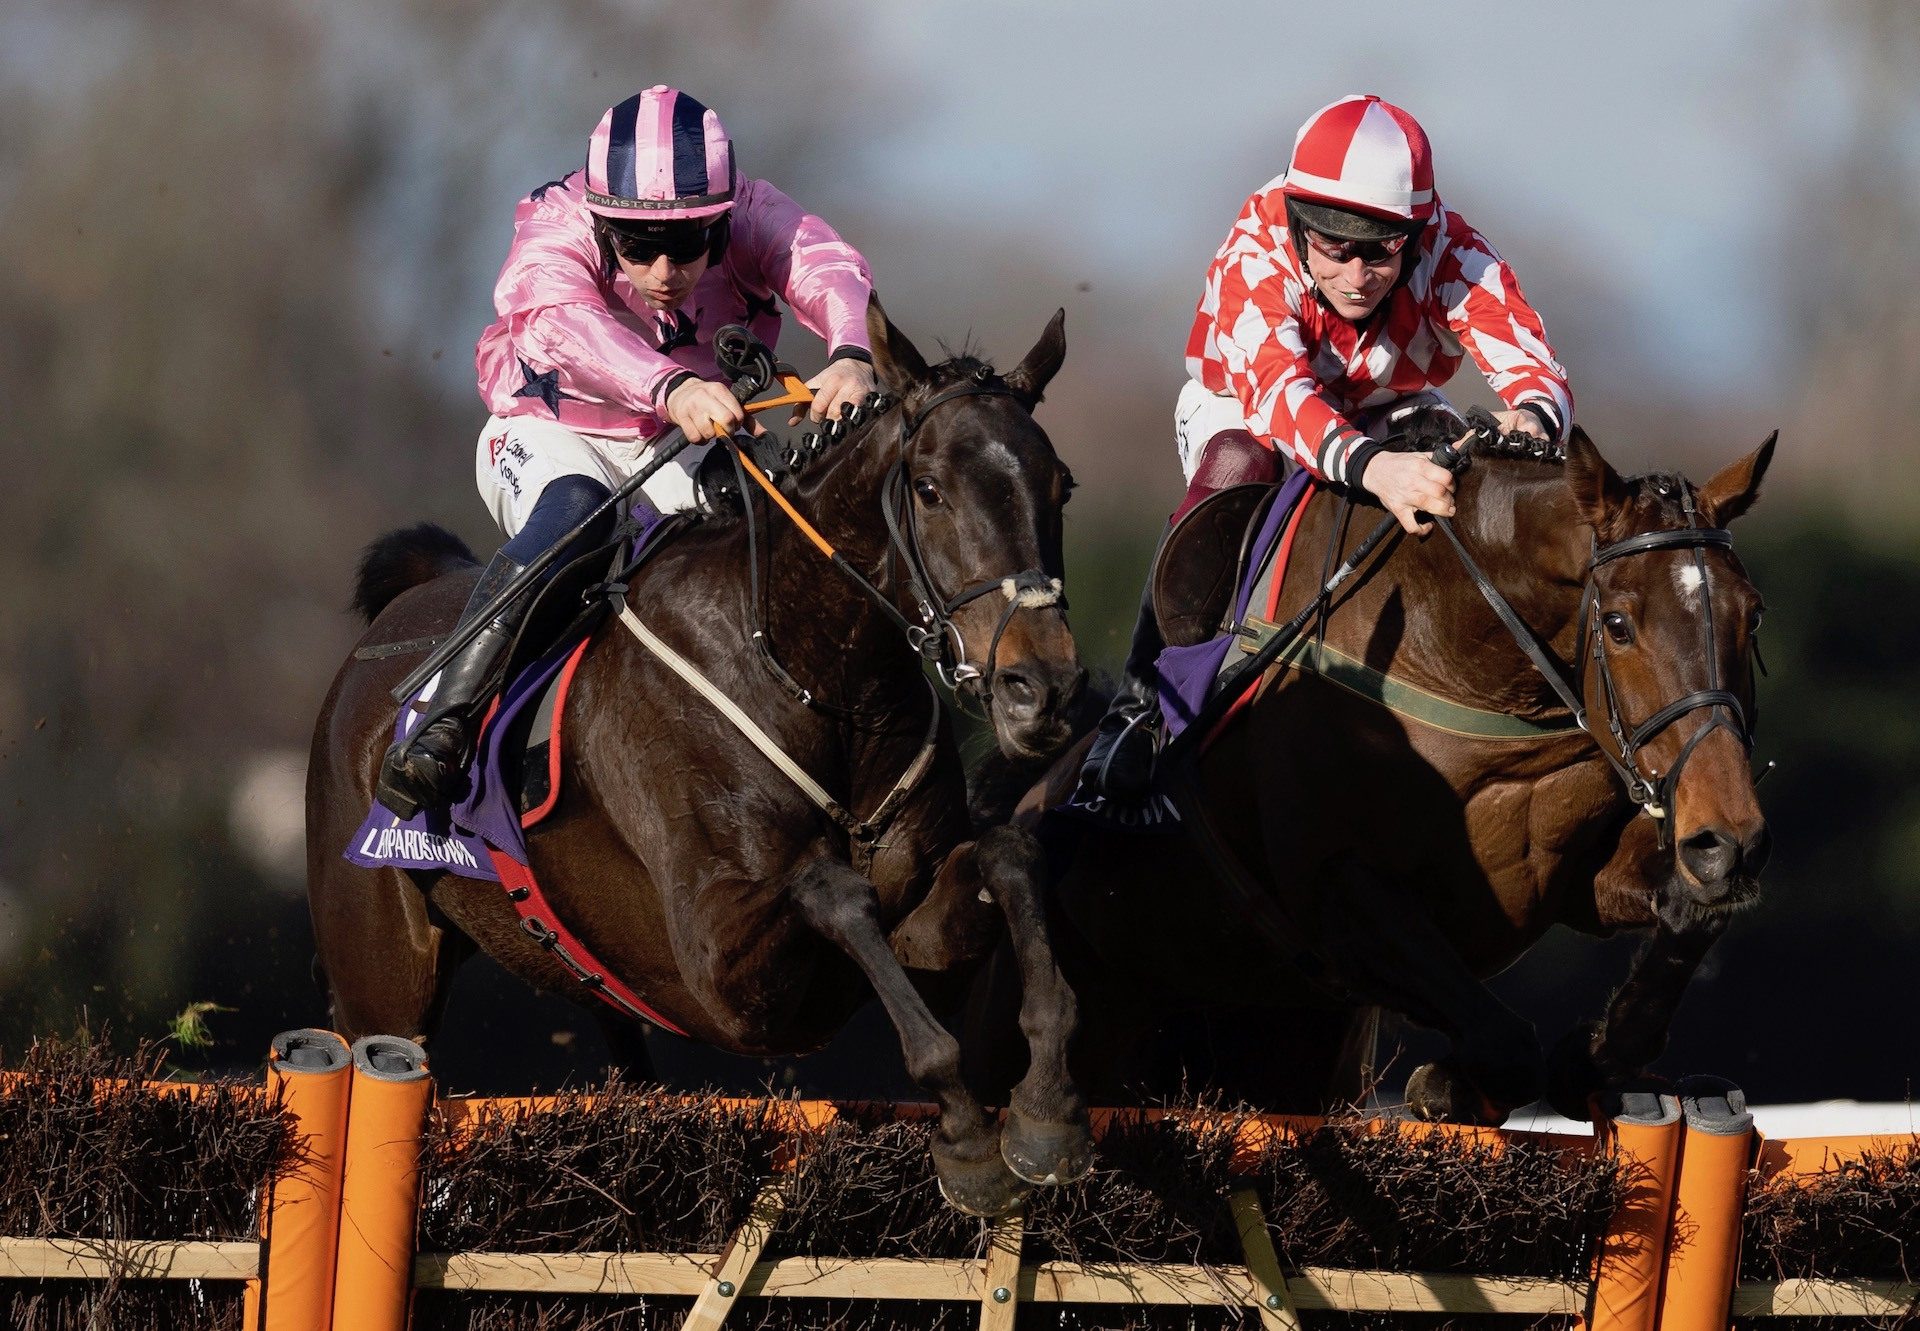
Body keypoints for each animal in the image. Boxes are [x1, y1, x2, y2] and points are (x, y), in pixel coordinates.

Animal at [314, 303, 1098, 1213]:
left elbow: (1007, 853)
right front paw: (969, 1141)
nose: (1042, 689)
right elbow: (836, 891)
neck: (811, 674)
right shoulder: (721, 970)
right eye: (931, 489)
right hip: (380, 983)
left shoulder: (917, 920)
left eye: (1061, 486)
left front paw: (1046, 1112)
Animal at [1013, 418, 1774, 1121]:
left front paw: (1589, 1060)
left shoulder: (1569, 878)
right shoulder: (1335, 897)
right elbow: (1505, 1044)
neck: (1465, 667)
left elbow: (1689, 915)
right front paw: (1448, 1084)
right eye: (1618, 624)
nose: (1731, 838)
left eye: (1754, 615)